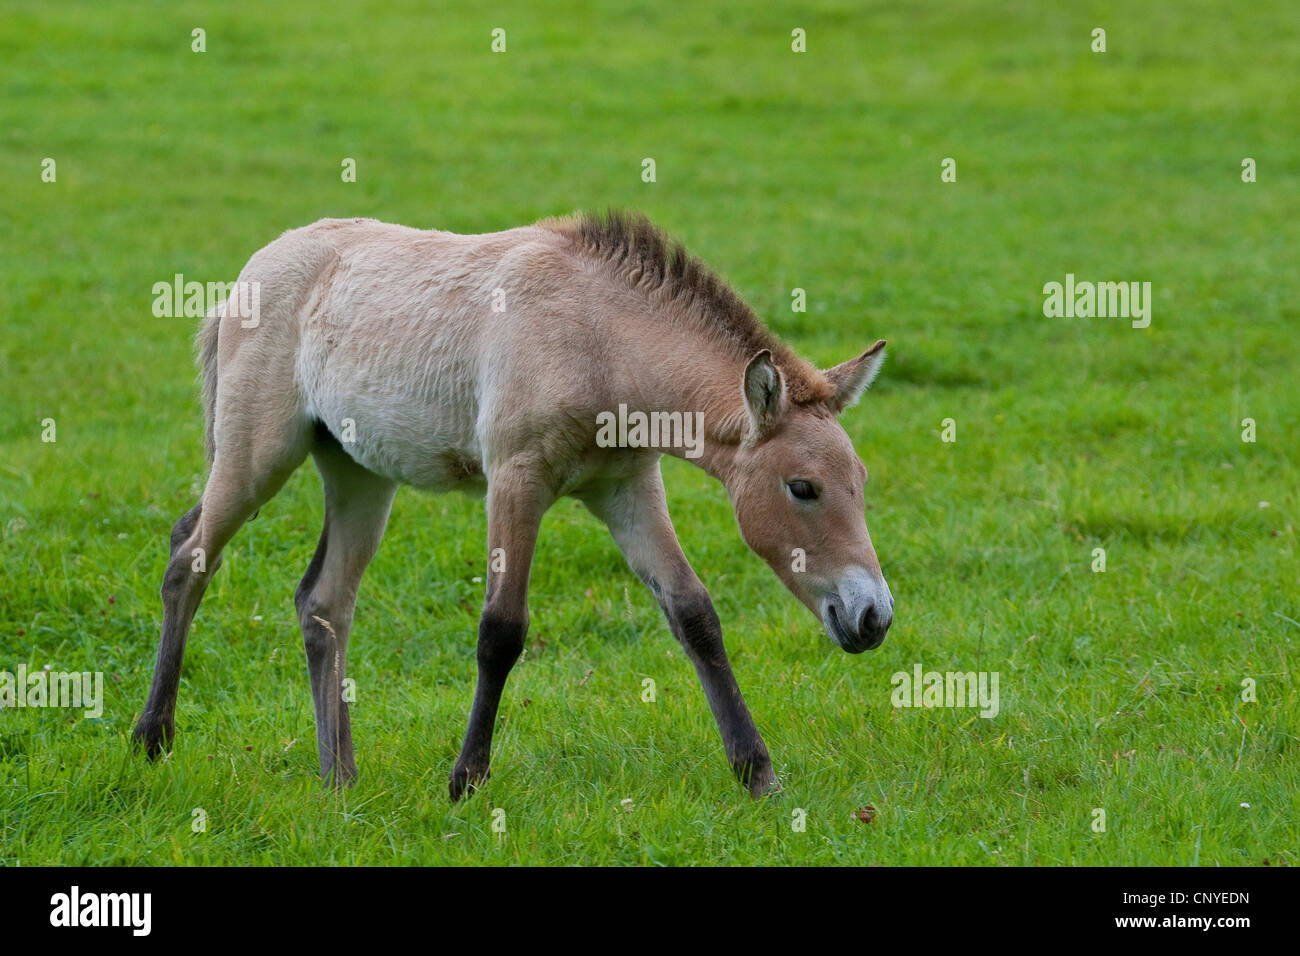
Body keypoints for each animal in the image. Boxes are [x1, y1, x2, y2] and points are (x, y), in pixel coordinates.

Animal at [137, 213, 899, 796]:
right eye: (802, 487)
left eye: (861, 479)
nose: (873, 618)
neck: (598, 338)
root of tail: (247, 275)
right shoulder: (516, 480)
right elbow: (501, 630)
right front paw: (466, 781)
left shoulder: (626, 489)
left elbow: (694, 614)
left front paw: (757, 773)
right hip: (255, 455)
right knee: (189, 557)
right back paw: (152, 738)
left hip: (359, 476)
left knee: (323, 603)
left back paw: (340, 777)